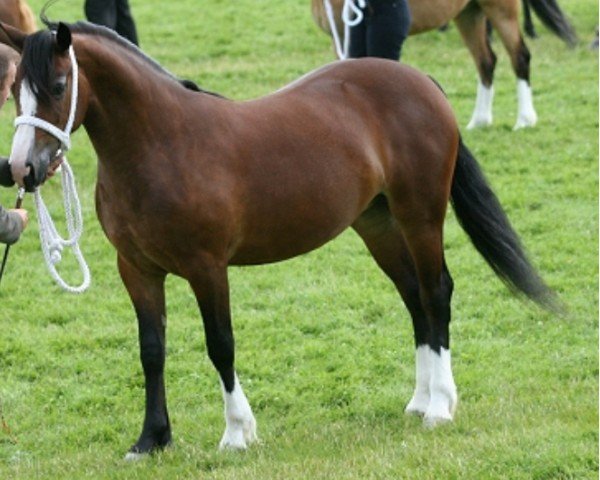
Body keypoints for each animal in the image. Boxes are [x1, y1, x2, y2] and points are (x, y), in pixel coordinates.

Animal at [0, 21, 556, 458]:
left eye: (58, 84)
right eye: (14, 90)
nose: (22, 169)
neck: (163, 144)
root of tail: (421, 82)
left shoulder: (206, 267)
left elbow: (220, 346)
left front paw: (237, 433)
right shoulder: (136, 269)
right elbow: (151, 350)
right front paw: (152, 439)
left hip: (420, 216)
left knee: (437, 293)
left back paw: (441, 406)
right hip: (378, 225)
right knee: (415, 299)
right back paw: (419, 403)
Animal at [312, 0, 576, 130]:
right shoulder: (340, 38)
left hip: (500, 9)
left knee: (519, 57)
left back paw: (524, 119)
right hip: (468, 13)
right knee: (486, 61)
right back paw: (479, 121)